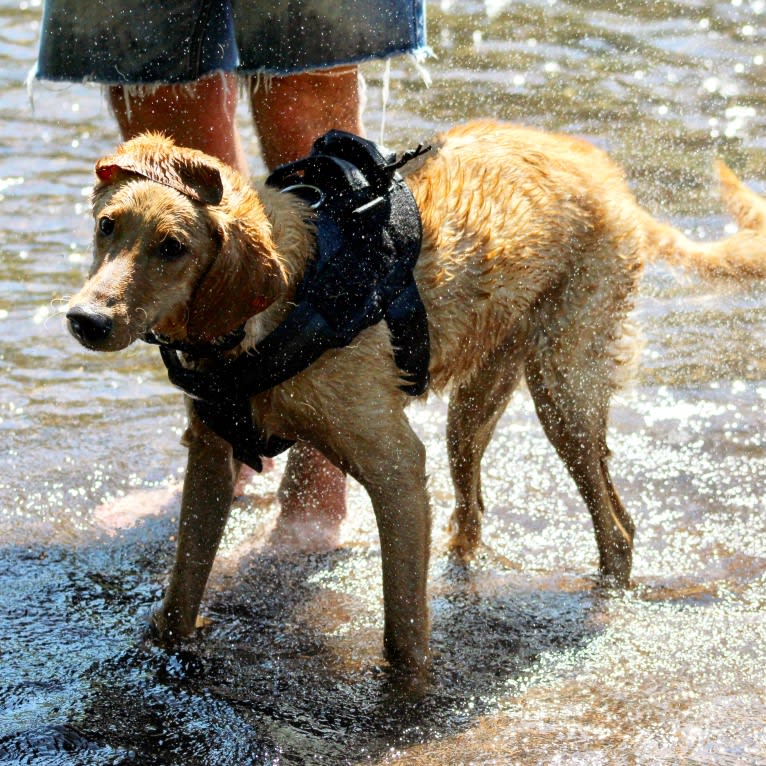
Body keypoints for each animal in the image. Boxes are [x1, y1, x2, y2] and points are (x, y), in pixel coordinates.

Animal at [66, 121, 766, 680]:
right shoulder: (211, 455)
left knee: (617, 528)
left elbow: (403, 628)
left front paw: (407, 700)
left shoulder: (397, 467)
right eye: (107, 227)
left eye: (174, 247)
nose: (84, 320)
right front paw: (158, 650)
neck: (286, 301)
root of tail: (617, 188)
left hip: (563, 394)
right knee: (472, 515)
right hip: (475, 409)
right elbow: (181, 593)